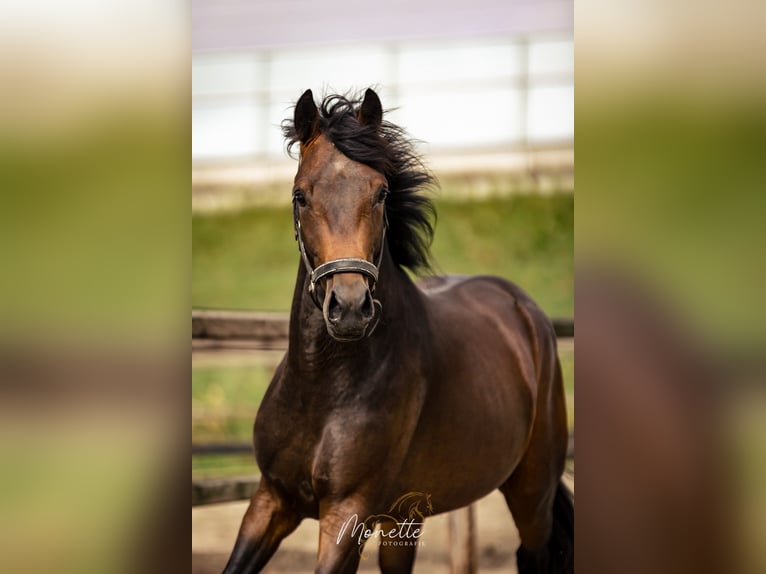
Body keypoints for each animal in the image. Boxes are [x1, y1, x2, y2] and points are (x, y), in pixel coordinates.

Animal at [219, 90, 572, 574]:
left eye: (381, 192)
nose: (349, 308)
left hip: (531, 493)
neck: (321, 390)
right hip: (404, 515)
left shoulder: (347, 513)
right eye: (300, 196)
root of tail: (524, 309)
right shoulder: (271, 499)